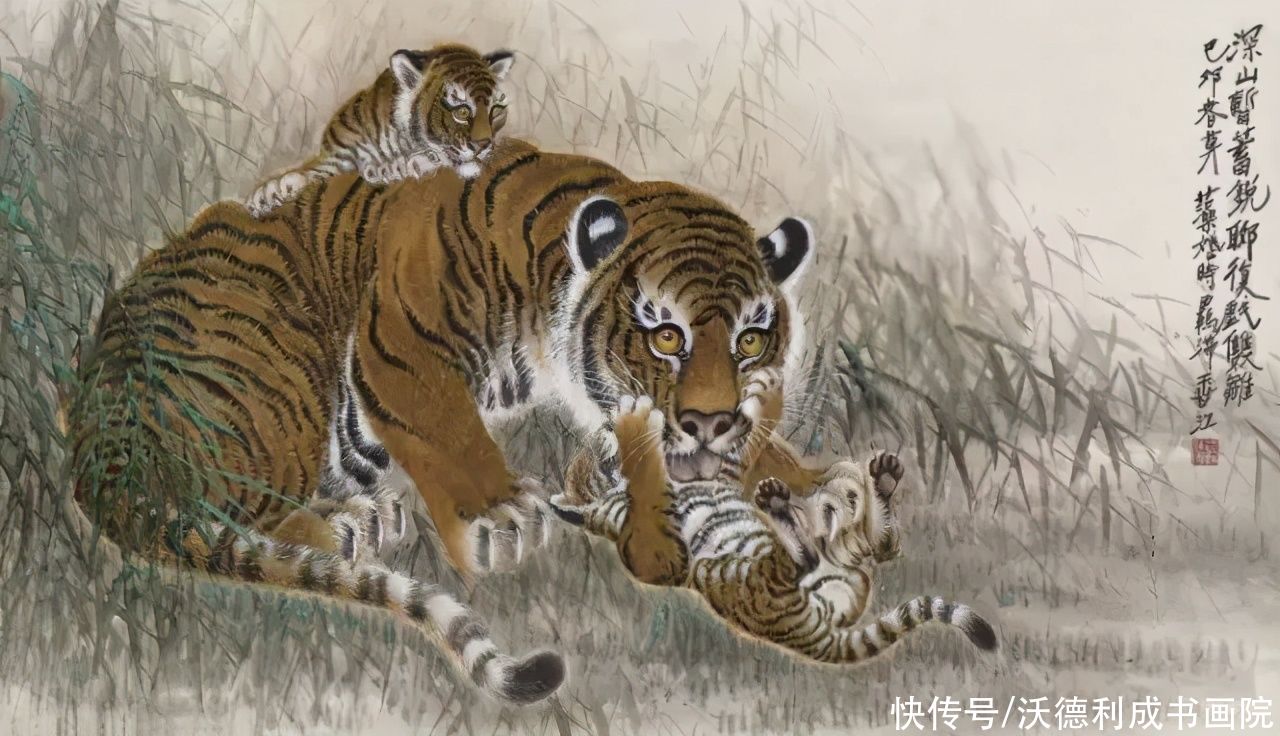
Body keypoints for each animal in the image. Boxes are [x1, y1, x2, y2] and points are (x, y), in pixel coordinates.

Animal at [66, 136, 835, 701]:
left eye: (751, 340)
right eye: (666, 337)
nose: (710, 421)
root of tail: (95, 433)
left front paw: (811, 488)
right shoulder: (401, 345)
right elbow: (452, 431)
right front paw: (499, 517)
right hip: (279, 376)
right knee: (214, 510)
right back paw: (347, 524)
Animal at [246, 43, 514, 217]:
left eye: (496, 109)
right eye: (461, 111)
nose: (484, 145)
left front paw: (395, 167)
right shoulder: (340, 156)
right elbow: (311, 172)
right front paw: (270, 193)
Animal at [548, 387, 998, 663]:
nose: (605, 430)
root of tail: (809, 635)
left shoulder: (720, 470)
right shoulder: (657, 553)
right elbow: (649, 487)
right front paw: (636, 427)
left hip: (845, 557)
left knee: (881, 543)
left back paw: (877, 480)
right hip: (760, 573)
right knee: (805, 557)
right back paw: (783, 504)